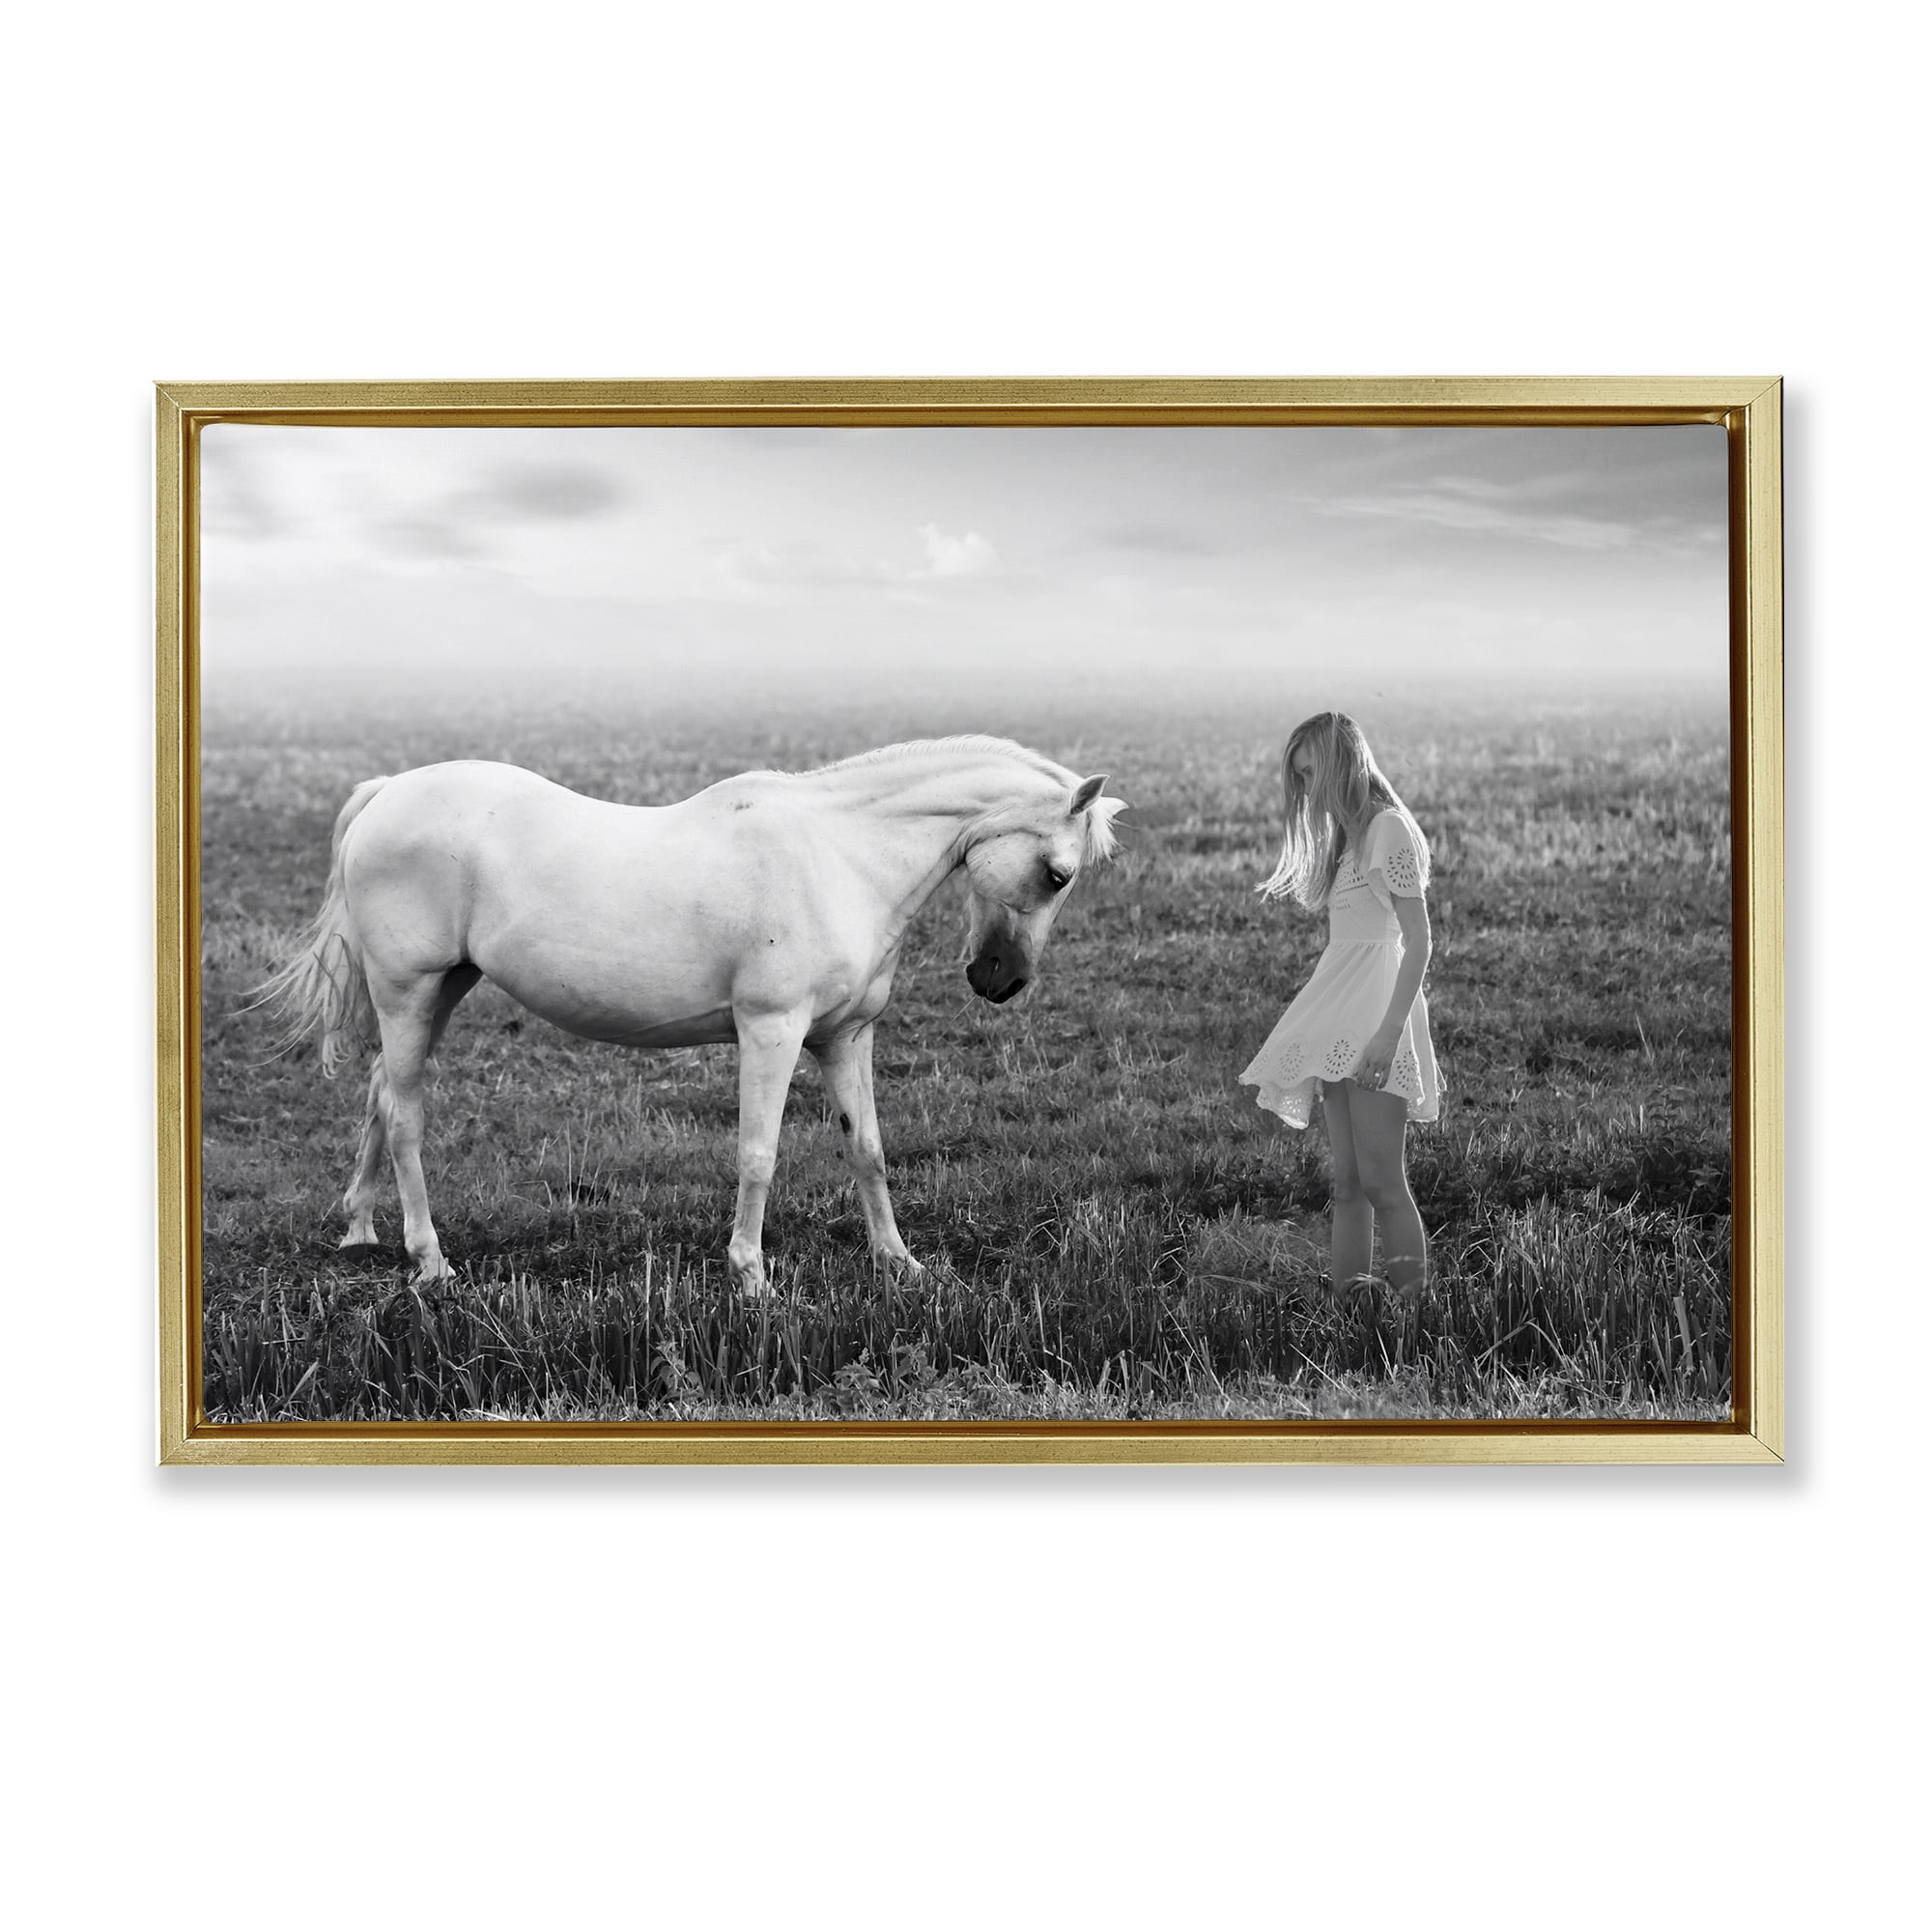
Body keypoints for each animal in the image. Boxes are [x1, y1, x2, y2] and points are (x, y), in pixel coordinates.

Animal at [258, 736, 1126, 1293]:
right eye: (1056, 874)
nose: (1000, 980)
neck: (840, 856)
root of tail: (386, 792)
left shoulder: (845, 1037)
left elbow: (869, 1150)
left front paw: (899, 1264)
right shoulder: (771, 1031)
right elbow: (758, 1155)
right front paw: (751, 1277)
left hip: (443, 990)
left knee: (381, 1092)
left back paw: (360, 1231)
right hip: (408, 991)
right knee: (405, 1115)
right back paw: (430, 1261)